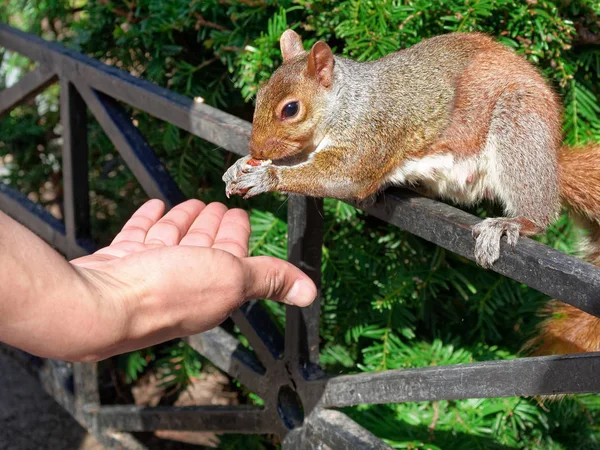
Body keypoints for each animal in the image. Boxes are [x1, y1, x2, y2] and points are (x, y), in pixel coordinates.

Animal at [224, 30, 600, 356]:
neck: (347, 104)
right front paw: (242, 165)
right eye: (259, 95)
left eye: (291, 109)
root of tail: (551, 160)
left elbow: (348, 176)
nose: (256, 148)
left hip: (520, 126)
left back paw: (513, 223)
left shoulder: (373, 135)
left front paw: (267, 176)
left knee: (540, 208)